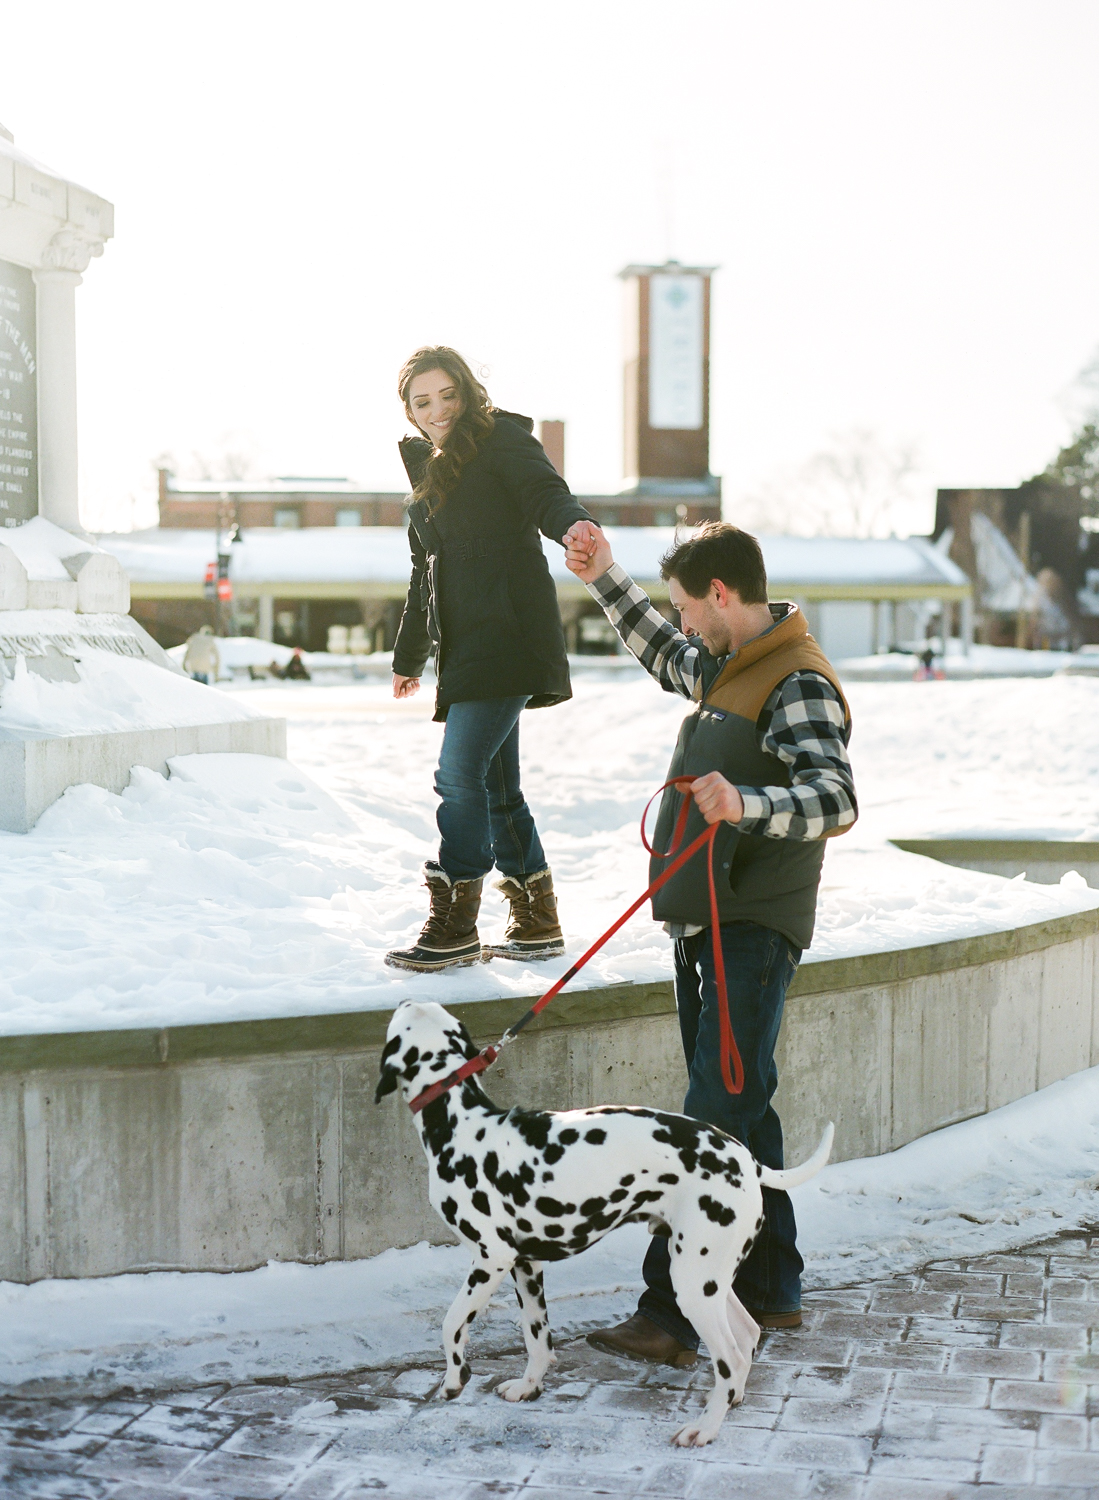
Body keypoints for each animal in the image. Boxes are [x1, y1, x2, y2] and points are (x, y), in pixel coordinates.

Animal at [377, 1002, 833, 1446]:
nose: (401, 998)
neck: (462, 1124)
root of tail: (746, 1159)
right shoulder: (527, 1266)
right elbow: (536, 1337)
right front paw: (529, 1386)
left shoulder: (492, 1260)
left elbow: (451, 1322)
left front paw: (454, 1378)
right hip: (705, 1279)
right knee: (748, 1335)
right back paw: (728, 1401)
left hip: (694, 1287)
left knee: (731, 1356)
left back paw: (705, 1428)